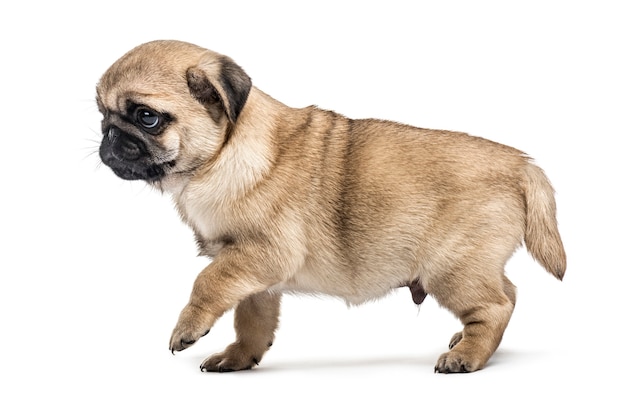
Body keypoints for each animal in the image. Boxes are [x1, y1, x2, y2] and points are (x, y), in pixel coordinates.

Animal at [96, 40, 564, 374]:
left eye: (147, 117)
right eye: (102, 114)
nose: (109, 138)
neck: (220, 158)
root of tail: (521, 164)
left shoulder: (258, 254)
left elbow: (207, 282)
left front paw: (188, 327)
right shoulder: (255, 275)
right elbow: (251, 319)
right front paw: (240, 356)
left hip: (451, 268)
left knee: (495, 306)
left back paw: (467, 355)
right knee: (508, 293)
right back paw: (463, 341)